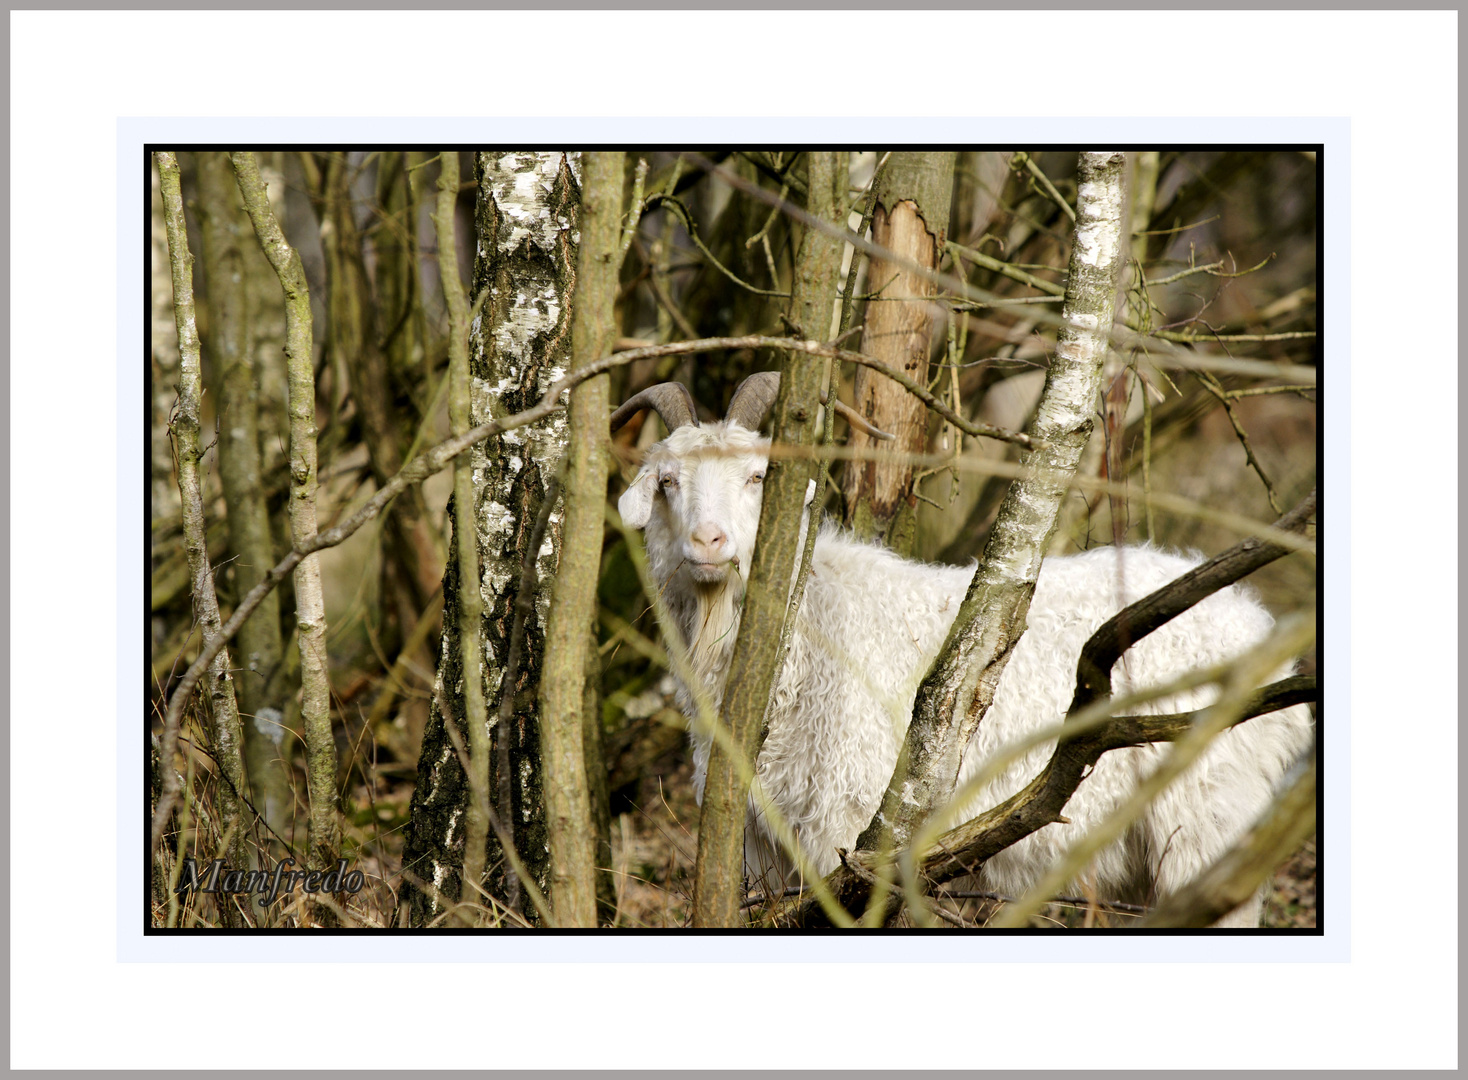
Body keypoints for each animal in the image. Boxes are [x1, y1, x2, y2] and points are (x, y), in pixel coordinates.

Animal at [613, 375, 1315, 921]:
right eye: (668, 481)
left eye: (757, 477)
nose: (708, 543)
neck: (809, 625)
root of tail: (1258, 628)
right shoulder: (764, 848)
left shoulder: (850, 830)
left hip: (1208, 815)